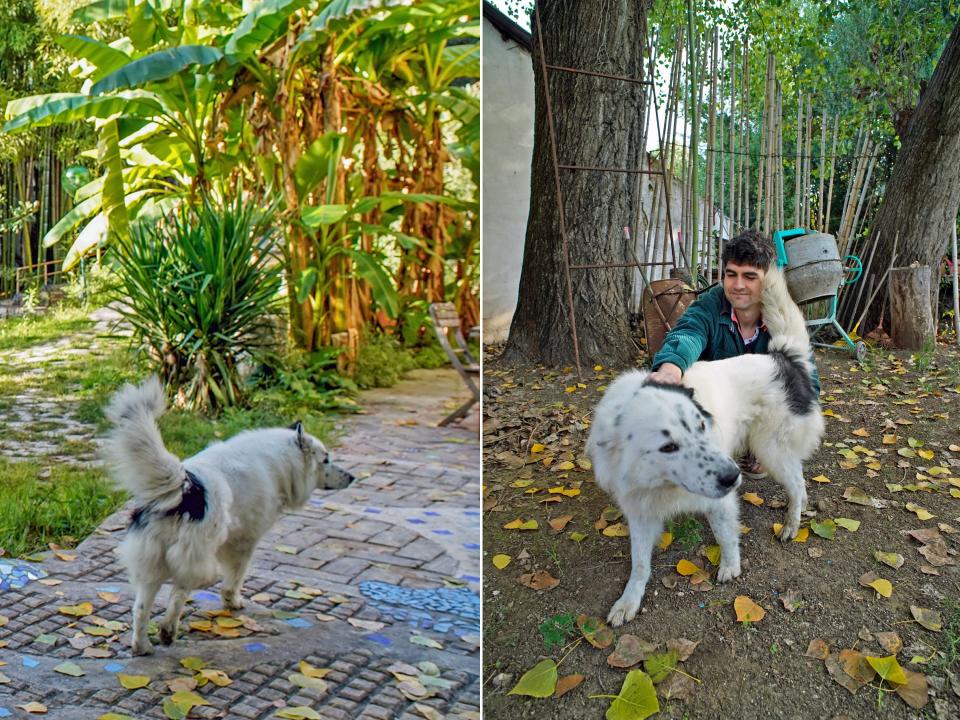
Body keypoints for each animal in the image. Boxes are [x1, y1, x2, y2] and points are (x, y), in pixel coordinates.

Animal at [103, 380, 356, 656]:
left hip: (152, 560)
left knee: (141, 608)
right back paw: (168, 631)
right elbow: (236, 577)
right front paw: (233, 601)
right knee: (179, 593)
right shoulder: (244, 541)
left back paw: (142, 646)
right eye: (326, 459)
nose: (352, 477)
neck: (279, 461)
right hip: (194, 558)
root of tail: (186, 485)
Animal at [584, 268, 824, 628]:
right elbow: (639, 563)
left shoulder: (720, 500)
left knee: (797, 483)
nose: (733, 477)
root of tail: (782, 357)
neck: (662, 483)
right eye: (668, 446)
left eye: (701, 426)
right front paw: (628, 601)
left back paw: (792, 525)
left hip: (770, 448)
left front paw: (730, 566)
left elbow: (725, 534)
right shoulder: (640, 510)